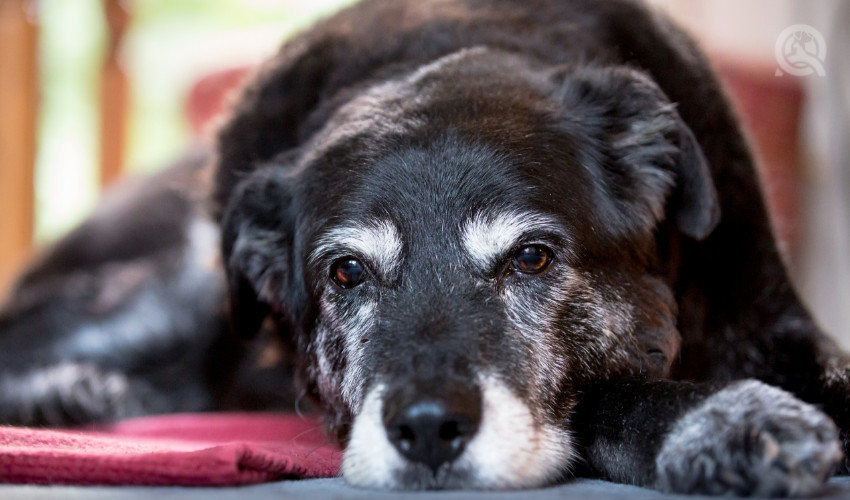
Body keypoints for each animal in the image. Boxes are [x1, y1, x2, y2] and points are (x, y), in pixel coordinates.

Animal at [1, 0, 848, 494]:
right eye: (347, 272)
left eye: (531, 257)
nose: (429, 431)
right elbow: (607, 394)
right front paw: (727, 421)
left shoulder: (775, 324)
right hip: (178, 287)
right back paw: (68, 394)